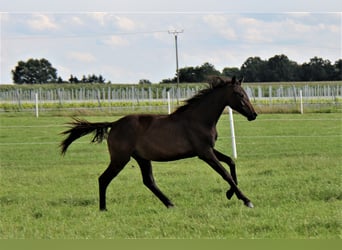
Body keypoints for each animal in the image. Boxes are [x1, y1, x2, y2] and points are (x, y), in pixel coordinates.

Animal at [60, 76, 256, 211]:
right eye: (239, 94)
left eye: (246, 94)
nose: (253, 115)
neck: (199, 119)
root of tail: (114, 124)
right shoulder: (204, 152)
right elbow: (225, 173)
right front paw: (246, 200)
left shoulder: (208, 150)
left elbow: (230, 161)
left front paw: (230, 194)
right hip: (120, 159)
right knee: (104, 178)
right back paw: (103, 208)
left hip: (141, 158)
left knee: (149, 181)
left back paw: (170, 204)